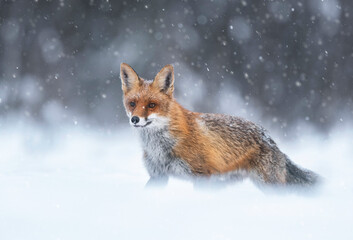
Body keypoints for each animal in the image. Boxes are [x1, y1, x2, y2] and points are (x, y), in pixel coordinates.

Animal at [120, 63, 320, 188]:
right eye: (132, 104)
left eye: (152, 105)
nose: (135, 119)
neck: (159, 146)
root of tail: (270, 139)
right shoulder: (157, 176)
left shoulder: (201, 175)